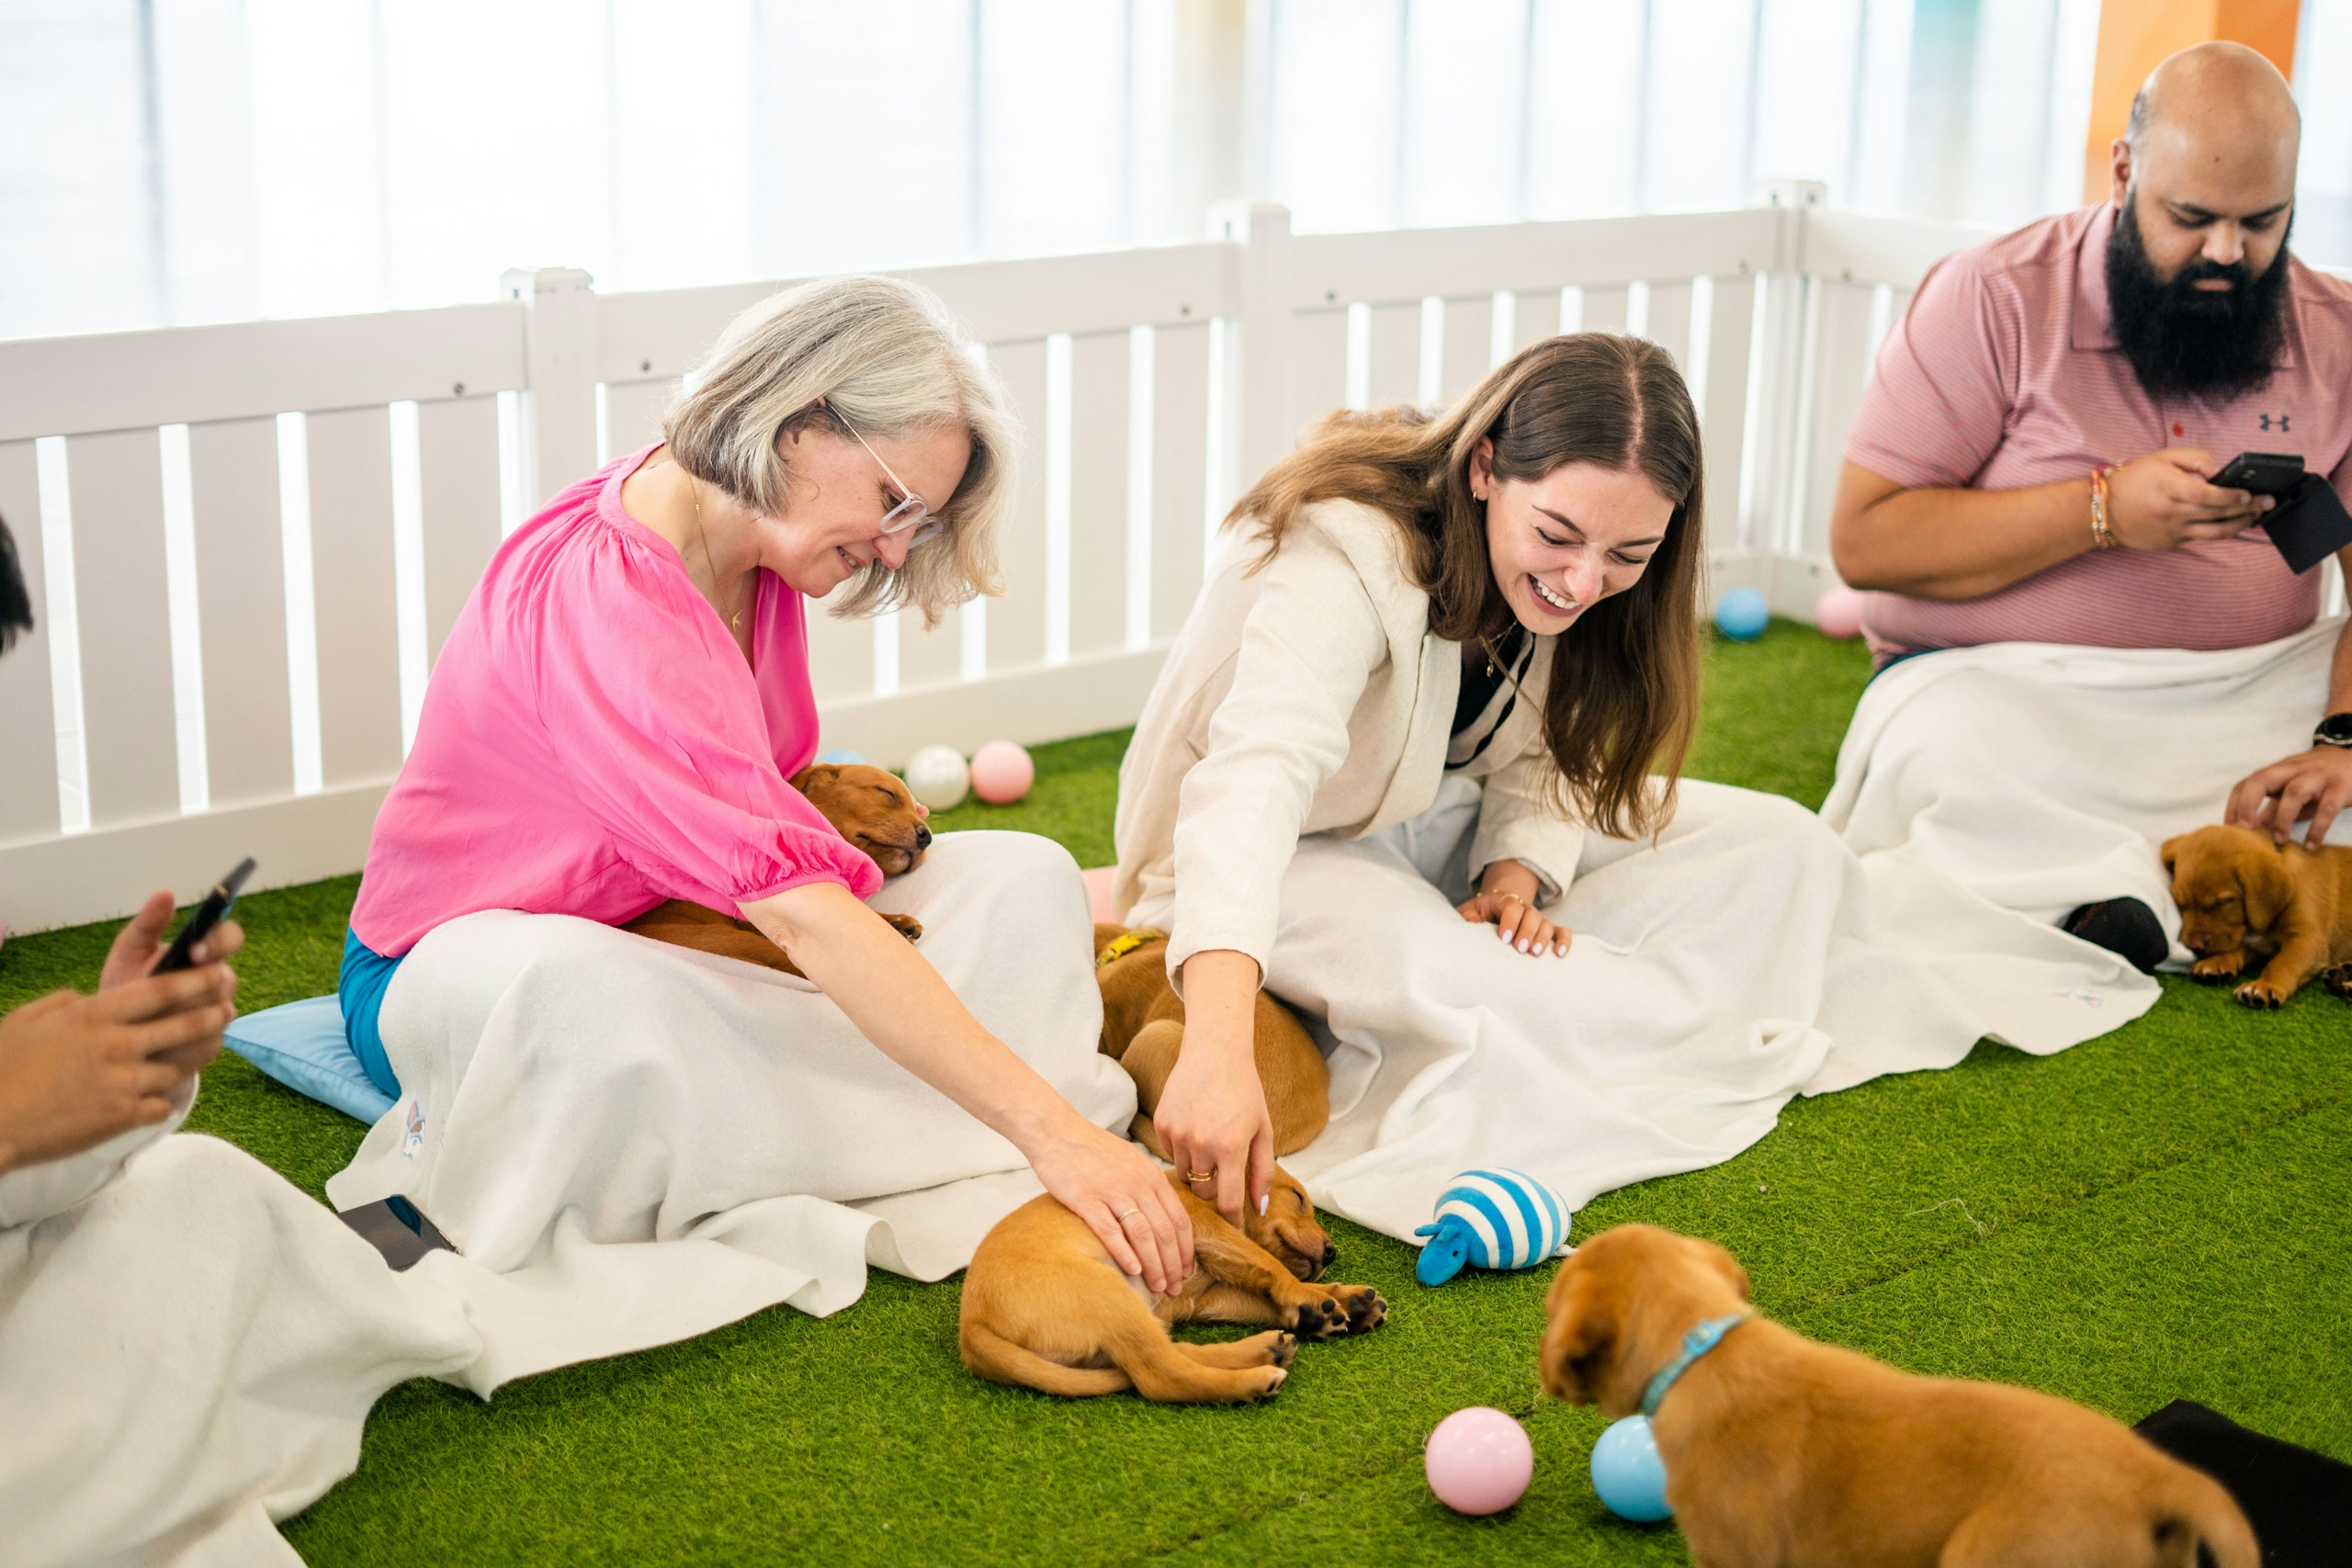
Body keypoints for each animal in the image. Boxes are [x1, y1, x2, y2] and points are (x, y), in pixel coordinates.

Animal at [964, 1166, 1383, 1410]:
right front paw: (1311, 1296)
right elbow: (1270, 1266)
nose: (1331, 1252)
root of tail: (970, 1331)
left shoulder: (1205, 1297)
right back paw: (1252, 1379)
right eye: (1297, 1198)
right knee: (1161, 1374)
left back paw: (1267, 1349)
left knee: (1175, 1352)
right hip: (1106, 1292)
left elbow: (1264, 1293)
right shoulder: (1208, 1230)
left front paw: (1343, 1301)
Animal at [2164, 827, 2352, 1010]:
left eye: (2223, 902)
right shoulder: (2260, 944)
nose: (2194, 947)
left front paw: (2265, 985)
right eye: (2179, 903)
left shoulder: (2308, 938)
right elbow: (2241, 948)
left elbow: (2283, 962)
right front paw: (2218, 961)